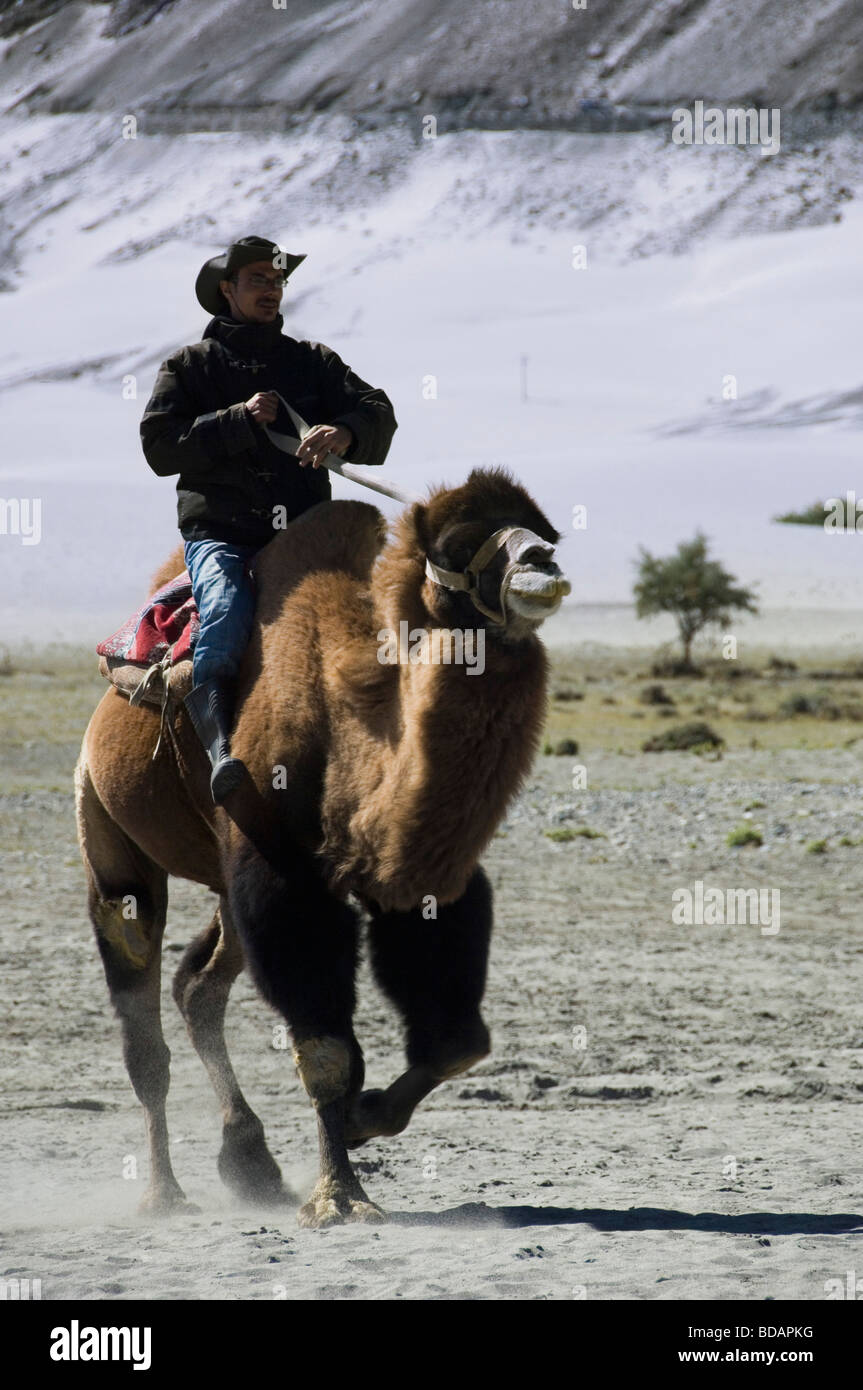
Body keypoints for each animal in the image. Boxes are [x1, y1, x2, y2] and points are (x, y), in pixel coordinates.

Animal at [75, 469, 572, 1228]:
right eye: (459, 543)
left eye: (545, 529)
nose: (542, 563)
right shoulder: (282, 873)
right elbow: (326, 1050)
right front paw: (340, 1197)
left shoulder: (422, 874)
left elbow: (459, 1040)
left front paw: (366, 1118)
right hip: (106, 826)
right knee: (143, 1019)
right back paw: (164, 1194)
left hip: (220, 885)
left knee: (198, 987)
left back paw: (249, 1161)